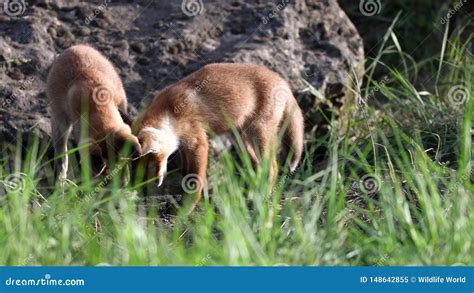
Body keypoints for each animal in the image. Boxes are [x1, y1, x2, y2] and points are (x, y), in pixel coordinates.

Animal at [46, 44, 141, 179]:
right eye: (104, 172)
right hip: (60, 122)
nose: (119, 184)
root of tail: (76, 46)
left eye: (121, 163)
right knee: (61, 157)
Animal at [134, 62, 304, 206]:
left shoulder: (198, 143)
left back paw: (263, 198)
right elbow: (185, 172)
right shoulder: (184, 148)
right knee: (257, 166)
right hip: (241, 140)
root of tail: (281, 80)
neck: (171, 112)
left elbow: (194, 179)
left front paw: (188, 206)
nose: (153, 184)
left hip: (259, 133)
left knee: (272, 168)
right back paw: (252, 194)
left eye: (153, 160)